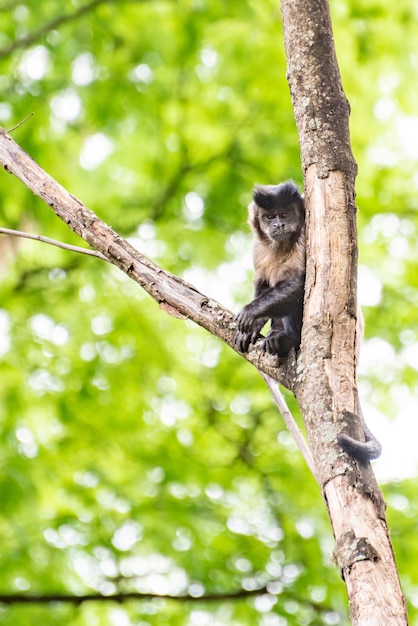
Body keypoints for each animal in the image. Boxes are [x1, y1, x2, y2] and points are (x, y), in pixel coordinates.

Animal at [237, 178, 380, 460]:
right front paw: (252, 328)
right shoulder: (258, 247)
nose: (278, 225)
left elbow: (302, 281)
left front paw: (251, 312)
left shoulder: (305, 234)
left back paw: (287, 339)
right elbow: (262, 282)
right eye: (269, 217)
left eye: (284, 215)